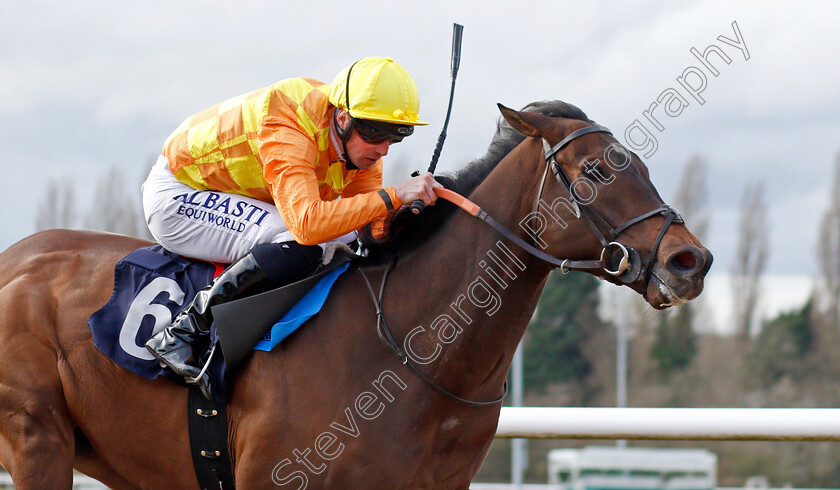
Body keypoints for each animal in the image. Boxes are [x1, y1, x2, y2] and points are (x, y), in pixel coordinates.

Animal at [0, 101, 708, 488]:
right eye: (596, 170)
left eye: (643, 165)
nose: (690, 260)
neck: (411, 354)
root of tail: (14, 260)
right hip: (37, 439)